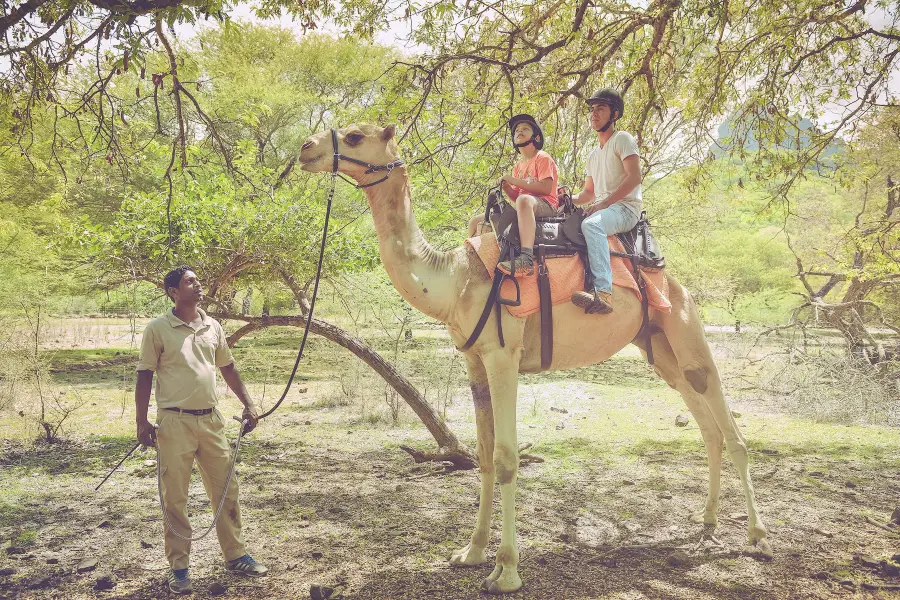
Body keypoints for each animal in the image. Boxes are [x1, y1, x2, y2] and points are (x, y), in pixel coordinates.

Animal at [298, 124, 772, 592]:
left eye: (355, 136)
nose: (306, 147)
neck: (455, 278)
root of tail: (674, 280)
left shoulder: (503, 356)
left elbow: (507, 459)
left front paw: (506, 571)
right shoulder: (474, 360)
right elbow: (484, 454)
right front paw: (471, 553)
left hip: (685, 326)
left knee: (730, 430)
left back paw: (758, 538)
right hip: (658, 347)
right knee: (706, 426)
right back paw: (707, 525)